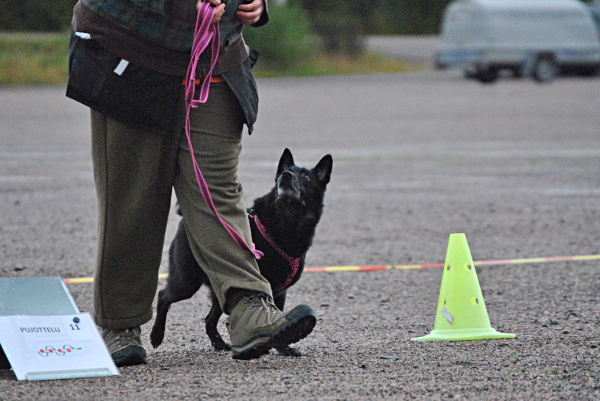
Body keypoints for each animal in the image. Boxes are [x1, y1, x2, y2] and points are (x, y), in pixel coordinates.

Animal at [151, 148, 332, 354]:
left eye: (306, 177)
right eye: (285, 173)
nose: (285, 175)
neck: (287, 219)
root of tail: (187, 220)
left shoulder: (279, 292)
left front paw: (282, 343)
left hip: (221, 286)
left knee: (209, 319)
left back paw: (219, 344)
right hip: (187, 281)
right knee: (163, 296)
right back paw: (156, 335)